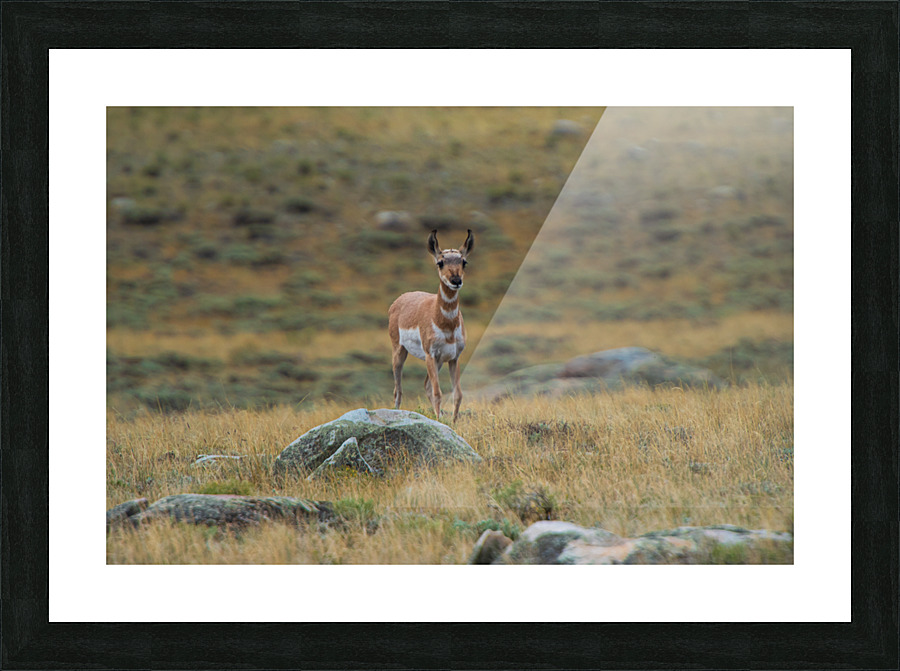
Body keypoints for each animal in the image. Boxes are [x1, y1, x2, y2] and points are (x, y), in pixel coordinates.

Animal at [389, 229, 474, 422]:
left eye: (463, 262)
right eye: (440, 262)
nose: (456, 280)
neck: (446, 325)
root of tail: (401, 298)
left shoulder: (454, 358)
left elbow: (457, 394)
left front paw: (453, 422)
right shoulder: (430, 356)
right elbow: (438, 393)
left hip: (439, 362)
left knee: (426, 385)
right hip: (400, 352)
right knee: (398, 390)